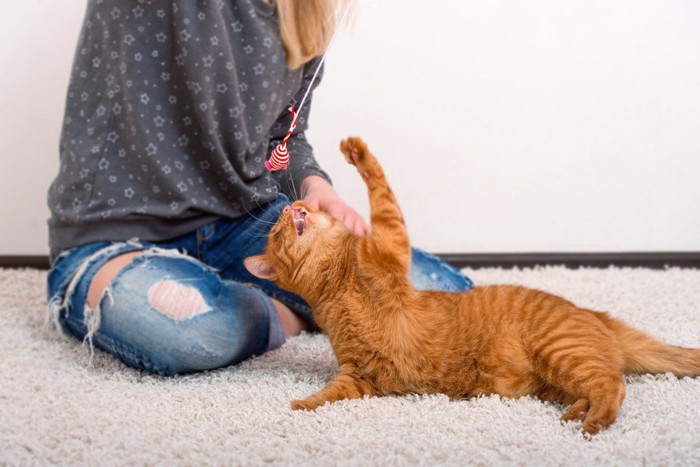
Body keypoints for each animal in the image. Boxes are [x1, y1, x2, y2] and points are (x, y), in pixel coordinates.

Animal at [246, 136, 700, 436]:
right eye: (277, 234)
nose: (289, 207)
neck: (335, 289)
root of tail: (594, 314)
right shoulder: (358, 378)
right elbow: (328, 395)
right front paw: (303, 404)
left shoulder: (389, 244)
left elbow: (378, 187)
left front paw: (356, 150)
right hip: (559, 374)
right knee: (604, 384)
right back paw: (579, 415)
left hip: (561, 352)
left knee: (613, 384)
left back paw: (592, 423)